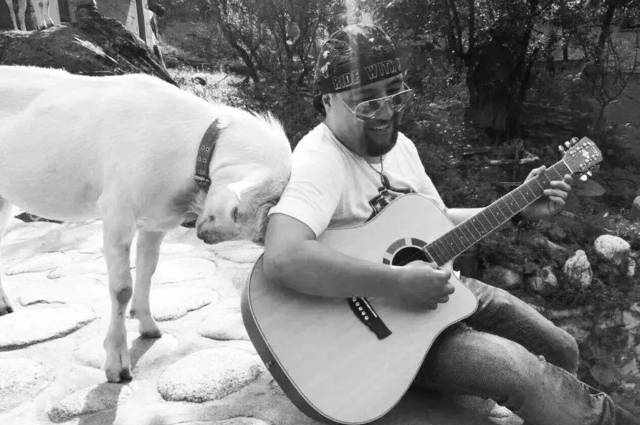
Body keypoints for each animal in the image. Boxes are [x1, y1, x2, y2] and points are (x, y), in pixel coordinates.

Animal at [0, 65, 291, 382]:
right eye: (243, 211)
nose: (206, 235)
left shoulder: (155, 220)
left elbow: (149, 269)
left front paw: (150, 328)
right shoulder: (117, 208)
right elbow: (121, 289)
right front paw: (118, 368)